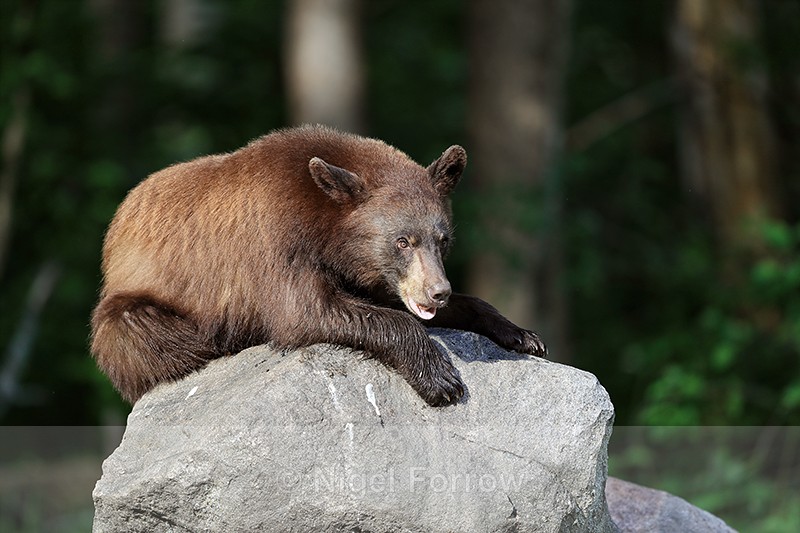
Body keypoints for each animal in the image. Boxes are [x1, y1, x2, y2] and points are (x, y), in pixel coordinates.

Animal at [90, 125, 546, 407]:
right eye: (402, 241)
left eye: (443, 238)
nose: (437, 292)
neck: (324, 226)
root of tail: (115, 227)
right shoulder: (275, 242)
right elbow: (308, 310)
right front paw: (440, 378)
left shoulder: (371, 275)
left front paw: (523, 335)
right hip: (130, 304)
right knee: (141, 331)